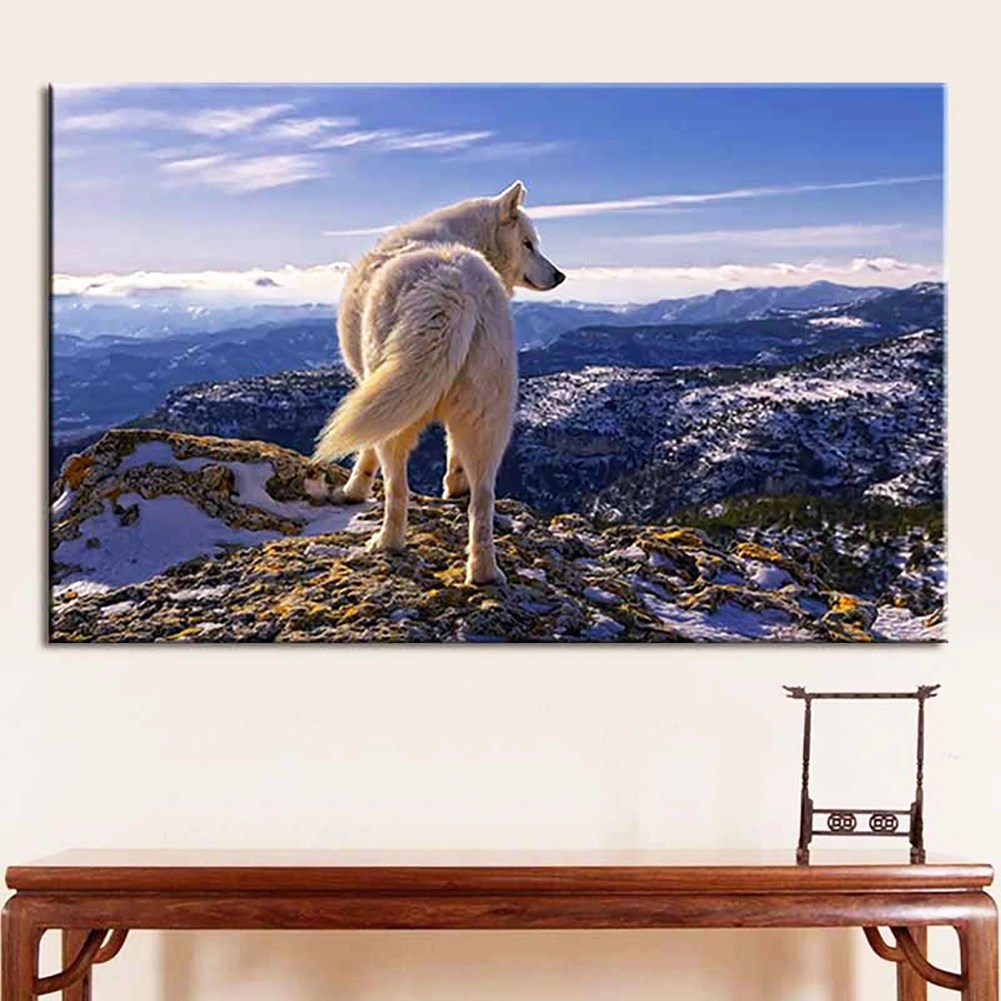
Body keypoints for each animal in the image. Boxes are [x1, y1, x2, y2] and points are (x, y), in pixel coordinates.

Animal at [313, 181, 565, 585]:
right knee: (483, 498)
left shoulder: (372, 385)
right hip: (488, 416)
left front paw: (353, 491)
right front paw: (453, 486)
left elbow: (365, 452)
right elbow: (452, 452)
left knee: (397, 488)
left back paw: (387, 543)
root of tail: (454, 288)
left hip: (399, 411)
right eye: (528, 244)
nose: (560, 276)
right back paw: (483, 571)